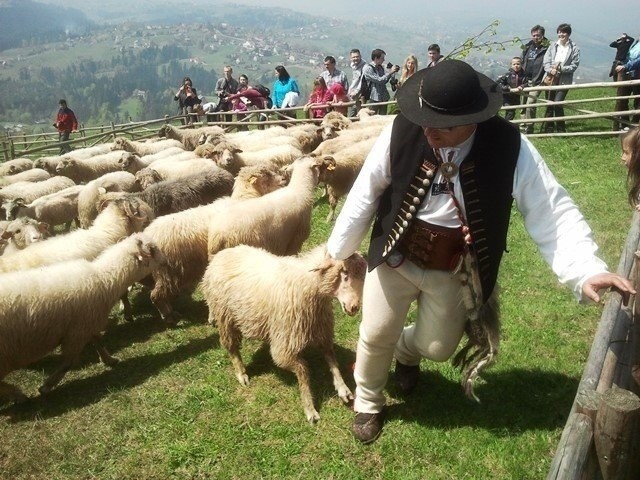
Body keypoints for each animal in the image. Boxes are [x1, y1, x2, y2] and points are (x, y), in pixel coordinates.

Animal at [0, 231, 164, 404]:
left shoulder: (86, 324)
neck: (103, 279)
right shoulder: (76, 332)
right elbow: (70, 362)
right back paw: (18, 395)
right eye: (152, 250)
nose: (165, 259)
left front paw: (109, 359)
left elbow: (98, 342)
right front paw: (47, 385)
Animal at [145, 160, 288, 322]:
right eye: (266, 176)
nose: (284, 179)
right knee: (156, 295)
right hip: (169, 271)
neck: (244, 199)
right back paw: (169, 316)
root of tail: (147, 236)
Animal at [202, 246, 368, 422]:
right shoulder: (284, 348)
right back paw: (241, 373)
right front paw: (309, 408)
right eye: (345, 275)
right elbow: (302, 371)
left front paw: (343, 388)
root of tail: (223, 253)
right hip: (225, 316)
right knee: (231, 347)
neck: (308, 288)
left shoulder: (322, 332)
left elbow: (332, 359)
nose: (354, 307)